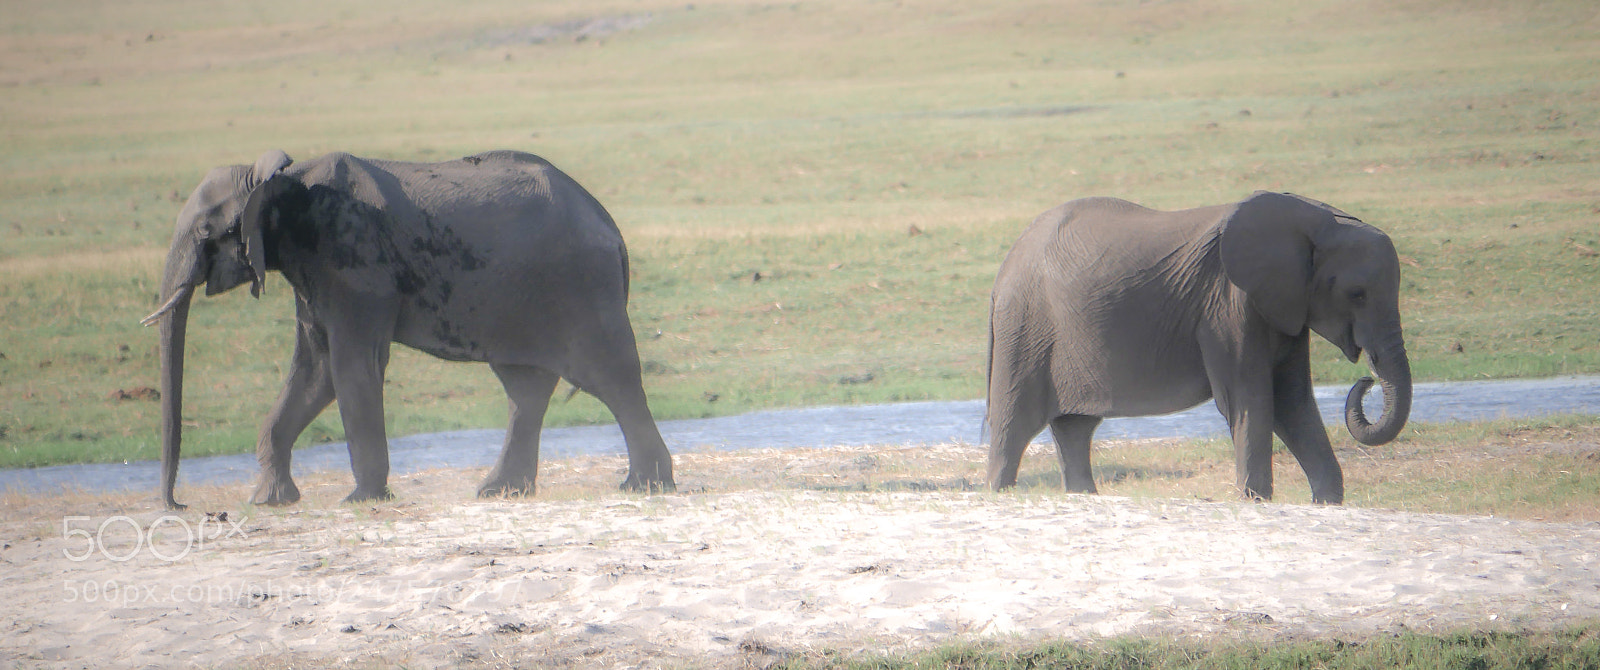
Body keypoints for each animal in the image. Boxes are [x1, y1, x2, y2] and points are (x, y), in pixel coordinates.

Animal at [142, 149, 675, 509]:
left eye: (205, 233)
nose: (179, 505)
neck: (281, 179)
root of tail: (608, 222)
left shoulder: (353, 261)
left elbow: (351, 366)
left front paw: (360, 500)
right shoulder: (312, 271)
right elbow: (316, 371)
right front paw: (270, 501)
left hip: (582, 283)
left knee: (610, 377)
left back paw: (645, 486)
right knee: (526, 385)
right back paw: (498, 491)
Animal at [985, 191, 1410, 504]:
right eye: (1357, 294)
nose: (1365, 381)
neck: (1320, 220)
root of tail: (1006, 264)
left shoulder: (1283, 307)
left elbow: (1291, 401)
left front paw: (1326, 501)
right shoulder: (1227, 305)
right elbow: (1251, 399)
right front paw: (1254, 499)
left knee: (1074, 427)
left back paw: (1083, 496)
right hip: (1023, 326)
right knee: (1014, 423)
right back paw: (999, 491)